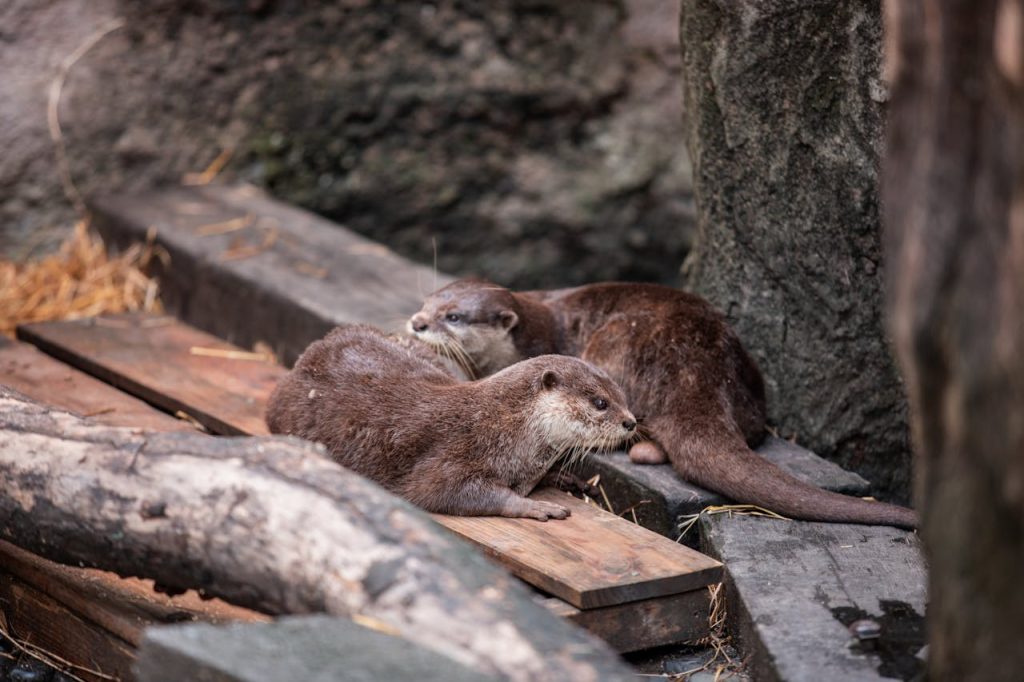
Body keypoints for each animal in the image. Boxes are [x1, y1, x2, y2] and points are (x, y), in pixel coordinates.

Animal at [266, 324, 636, 520]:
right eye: (600, 403)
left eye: (623, 395)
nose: (631, 423)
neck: (506, 426)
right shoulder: (456, 452)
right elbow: (442, 492)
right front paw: (534, 506)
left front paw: (564, 479)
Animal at [408, 280, 917, 529]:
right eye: (428, 302)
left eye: (453, 317)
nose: (416, 322)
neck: (536, 333)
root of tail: (697, 371)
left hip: (615, 344)